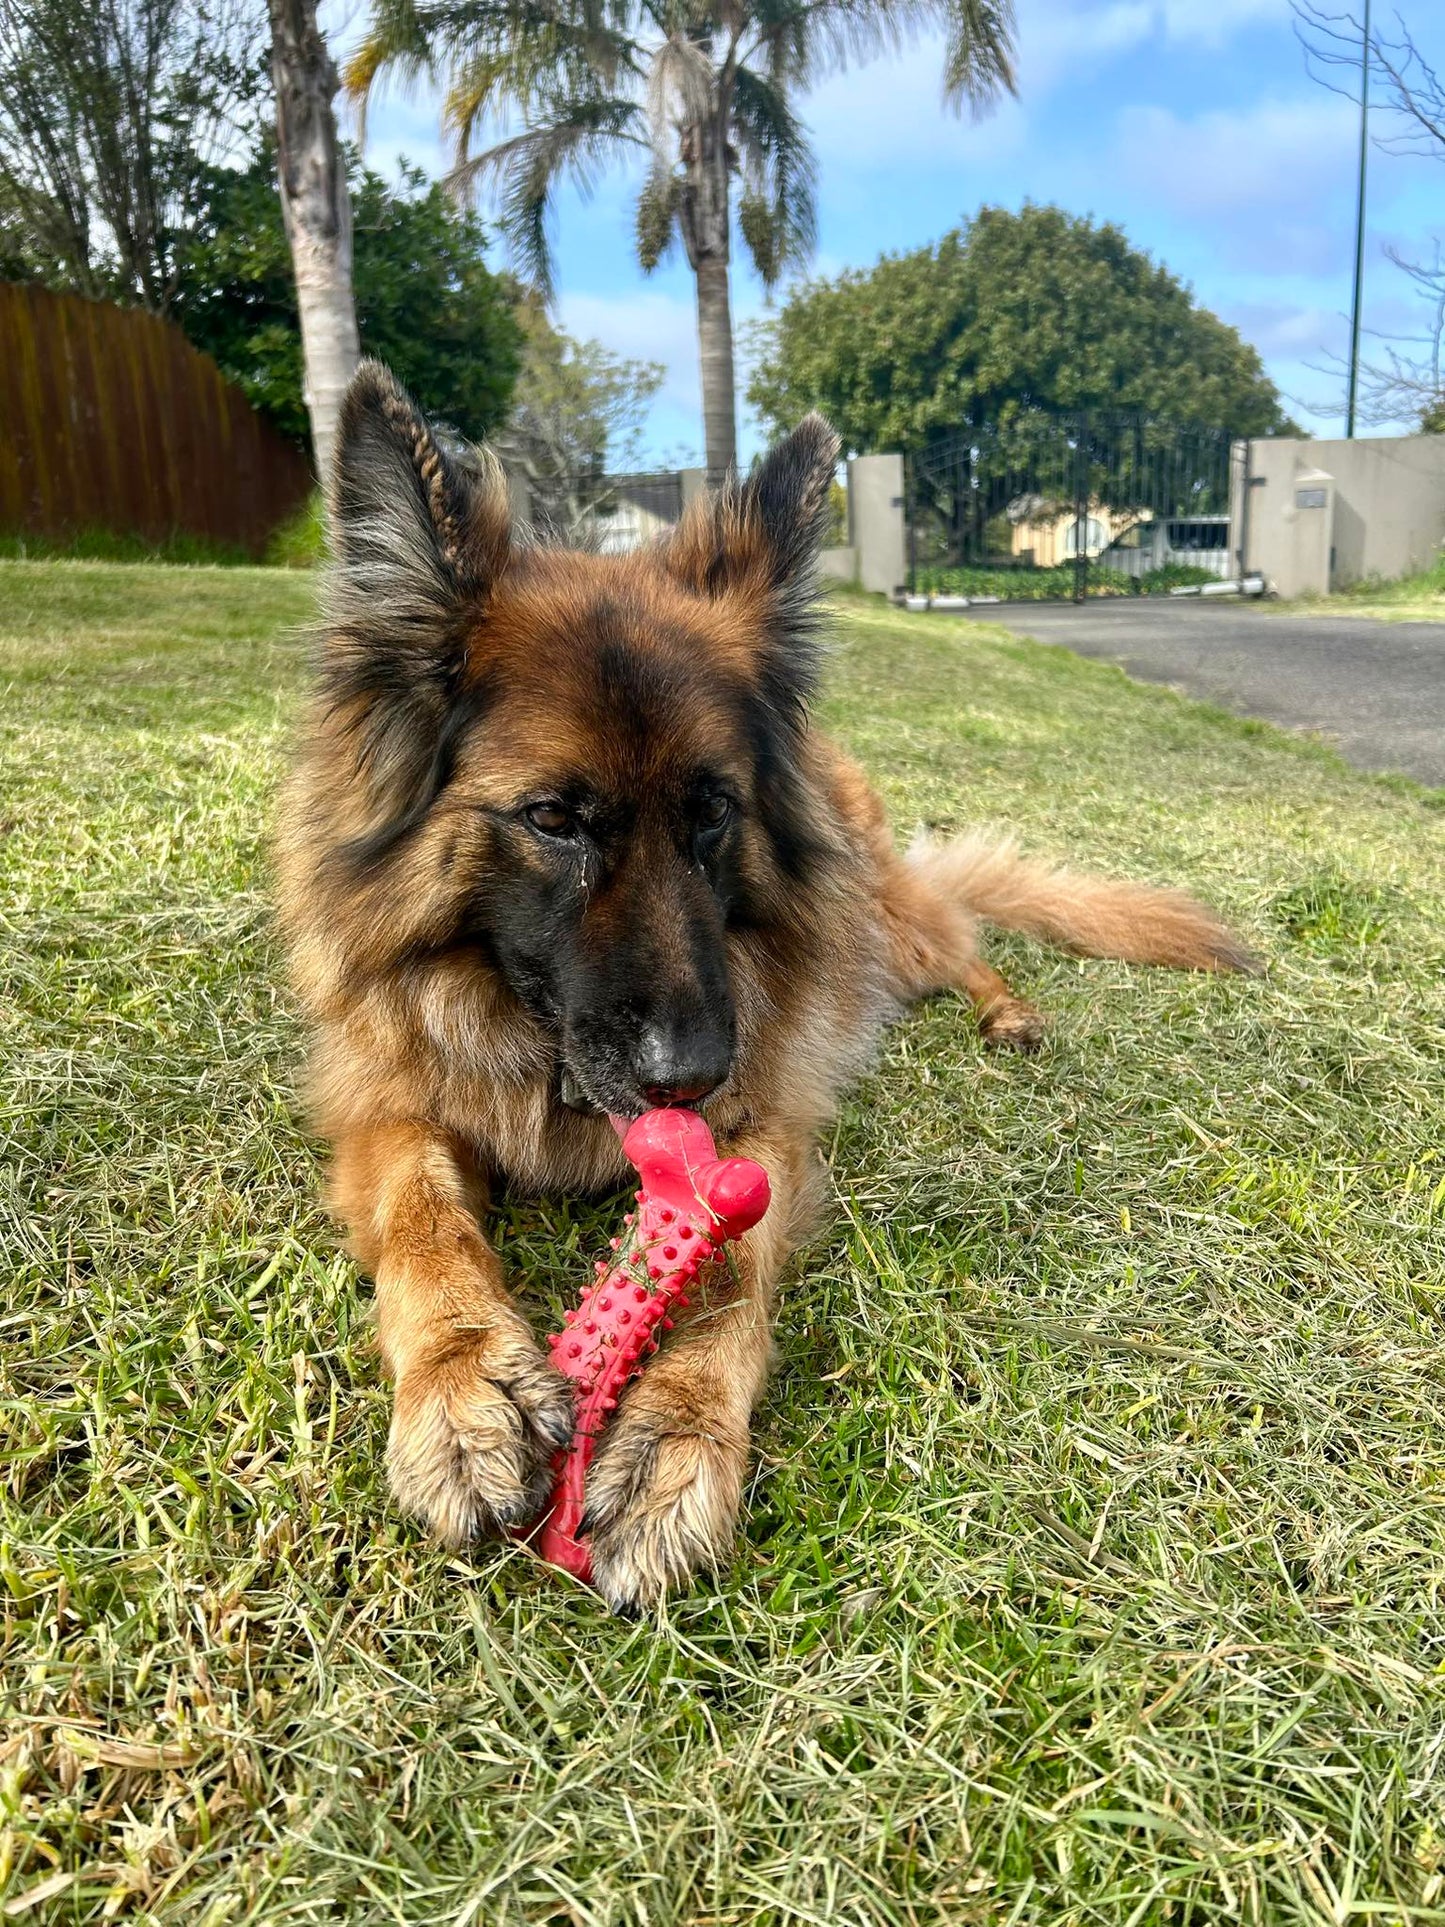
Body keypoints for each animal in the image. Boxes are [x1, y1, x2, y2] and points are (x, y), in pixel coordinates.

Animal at [279, 362, 1256, 1610]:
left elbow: (731, 1263)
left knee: (963, 941)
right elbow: (422, 1219)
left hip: (888, 928)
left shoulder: (770, 1128)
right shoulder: (386, 1106)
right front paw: (464, 1383)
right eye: (552, 818)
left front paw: (673, 1438)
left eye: (714, 811)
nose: (694, 1074)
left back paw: (1008, 1012)